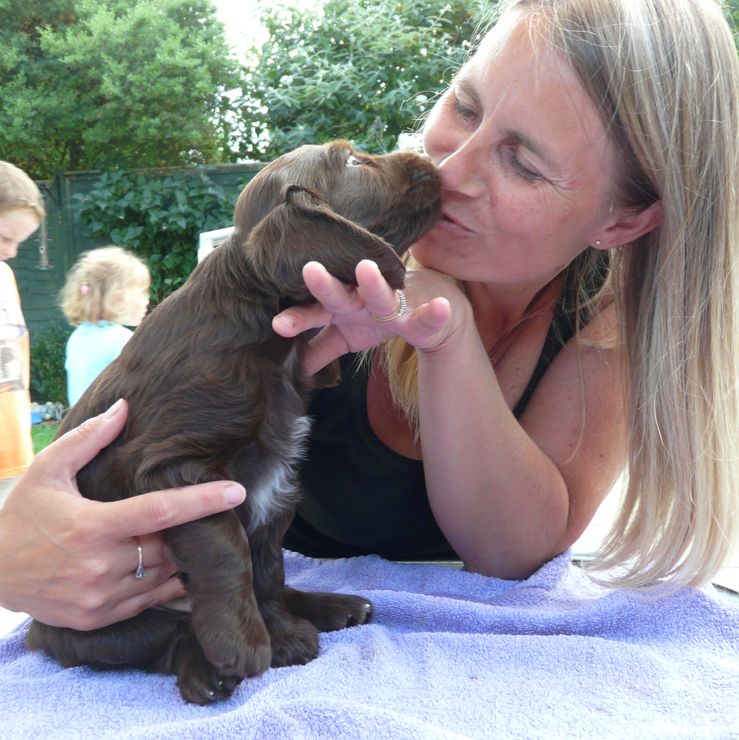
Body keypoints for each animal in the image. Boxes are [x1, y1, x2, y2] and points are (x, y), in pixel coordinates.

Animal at [26, 140, 442, 704]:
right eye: (353, 162)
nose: (432, 163)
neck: (261, 325)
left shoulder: (275, 484)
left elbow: (265, 568)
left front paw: (282, 634)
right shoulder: (177, 468)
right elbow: (227, 549)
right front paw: (248, 643)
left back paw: (334, 606)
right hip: (89, 627)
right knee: (167, 634)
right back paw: (210, 671)